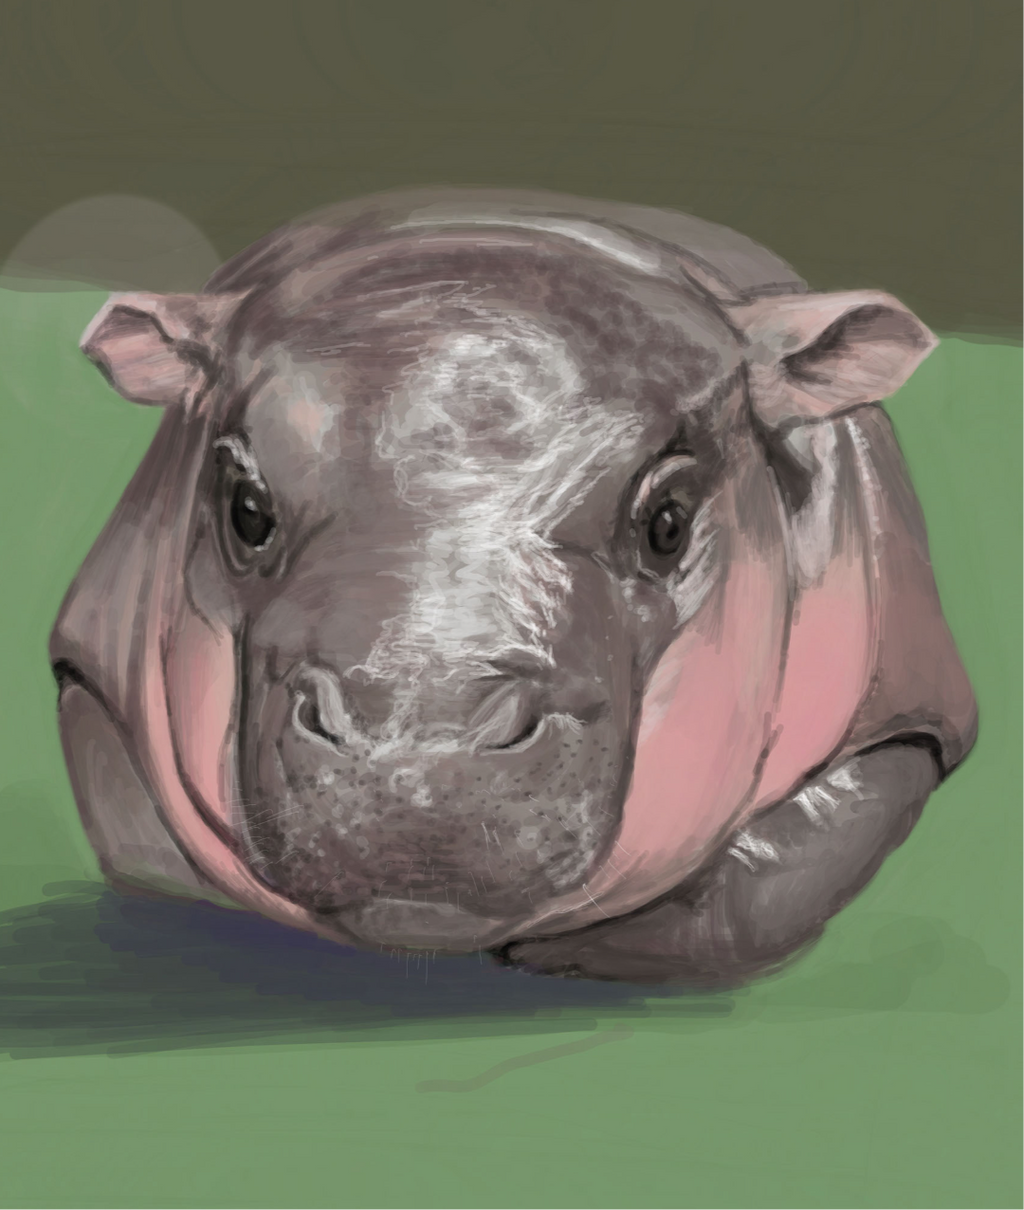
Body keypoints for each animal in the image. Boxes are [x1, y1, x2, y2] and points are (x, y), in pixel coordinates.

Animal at [50, 187, 977, 985]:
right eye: (246, 506)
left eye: (667, 520)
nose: (415, 754)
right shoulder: (87, 670)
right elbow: (145, 841)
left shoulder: (910, 702)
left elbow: (772, 880)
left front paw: (562, 952)